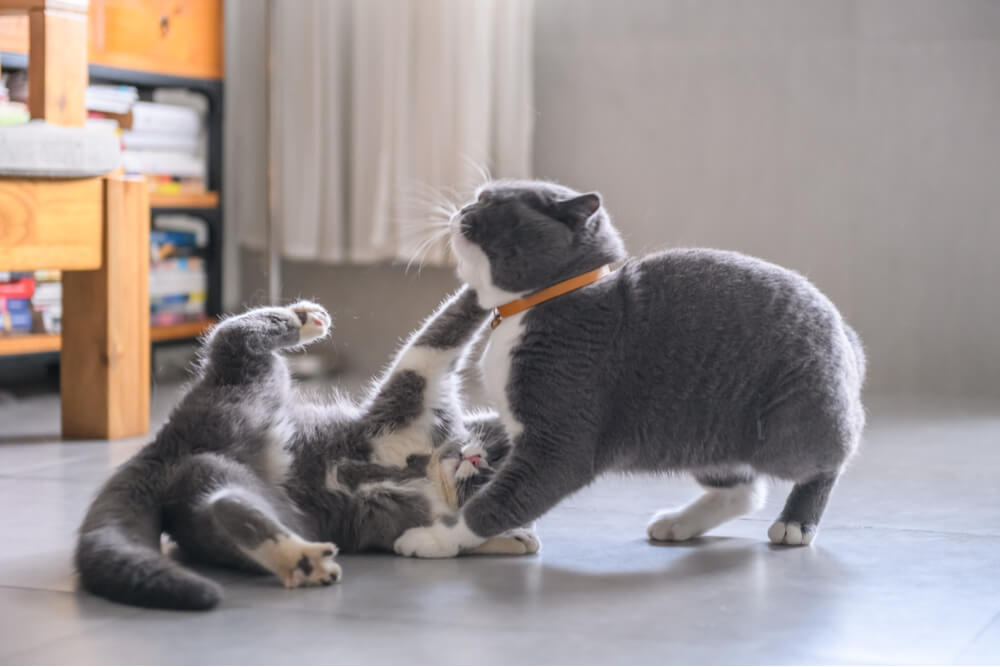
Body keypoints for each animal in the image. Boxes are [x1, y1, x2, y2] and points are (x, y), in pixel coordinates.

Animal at [76, 288, 540, 612]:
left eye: (488, 474)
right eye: (489, 447)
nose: (473, 459)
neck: (424, 473)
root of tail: (166, 444)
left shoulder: (407, 520)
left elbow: (456, 534)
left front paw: (516, 537)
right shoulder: (413, 402)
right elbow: (438, 338)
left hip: (256, 502)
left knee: (222, 504)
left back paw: (300, 560)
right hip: (250, 387)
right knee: (233, 336)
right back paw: (302, 319)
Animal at [394, 177, 864, 560]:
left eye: (493, 204)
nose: (462, 210)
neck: (537, 304)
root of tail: (844, 331)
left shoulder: (560, 439)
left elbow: (495, 503)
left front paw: (435, 539)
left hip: (789, 428)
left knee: (830, 457)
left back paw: (795, 523)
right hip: (703, 431)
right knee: (745, 491)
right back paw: (679, 523)